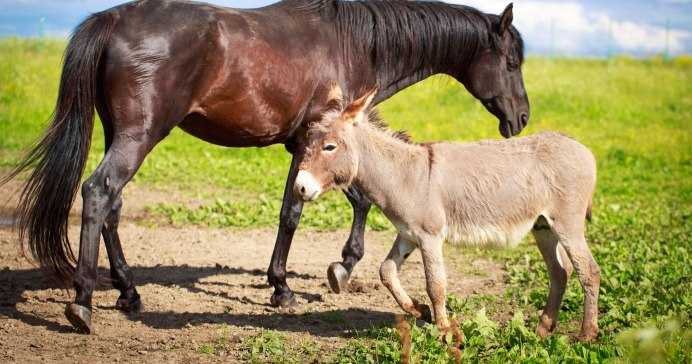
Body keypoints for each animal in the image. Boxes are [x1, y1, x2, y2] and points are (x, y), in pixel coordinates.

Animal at [1, 0, 528, 334]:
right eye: (512, 62)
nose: (521, 118)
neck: (353, 42)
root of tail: (113, 18)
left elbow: (349, 197)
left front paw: (332, 269)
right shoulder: (313, 143)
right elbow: (302, 210)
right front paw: (297, 282)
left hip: (123, 136)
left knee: (112, 205)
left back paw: (128, 292)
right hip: (138, 137)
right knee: (97, 192)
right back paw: (83, 301)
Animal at [294, 89, 600, 342]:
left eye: (330, 147)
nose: (300, 188)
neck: (405, 174)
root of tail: (583, 148)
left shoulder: (429, 236)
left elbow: (436, 284)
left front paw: (444, 332)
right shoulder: (408, 234)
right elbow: (386, 271)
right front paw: (420, 311)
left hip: (567, 223)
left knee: (589, 270)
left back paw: (586, 334)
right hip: (543, 227)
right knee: (560, 272)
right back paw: (543, 329)